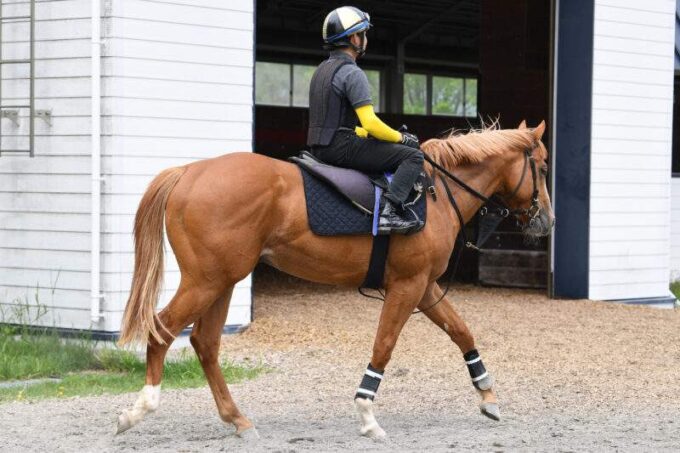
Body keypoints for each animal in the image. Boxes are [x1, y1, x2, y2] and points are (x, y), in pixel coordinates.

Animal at [115, 120, 552, 438]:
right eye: (544, 167)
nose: (547, 221)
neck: (436, 192)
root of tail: (189, 171)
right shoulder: (408, 287)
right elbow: (385, 345)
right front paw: (368, 415)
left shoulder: (425, 287)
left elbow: (461, 331)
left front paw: (488, 395)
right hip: (206, 281)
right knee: (162, 330)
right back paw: (139, 410)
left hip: (222, 281)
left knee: (205, 343)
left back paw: (237, 419)